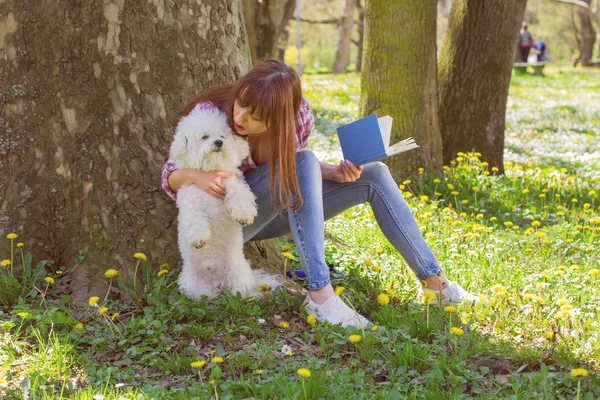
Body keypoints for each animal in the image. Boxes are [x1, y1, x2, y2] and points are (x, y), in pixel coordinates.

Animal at [169, 106, 282, 300]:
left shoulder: (233, 181)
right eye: (205, 136)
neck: (211, 171)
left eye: (222, 135)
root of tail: (217, 280)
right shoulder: (190, 201)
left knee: (243, 292)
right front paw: (199, 238)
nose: (219, 142)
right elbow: (194, 219)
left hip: (238, 273)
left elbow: (240, 195)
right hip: (192, 284)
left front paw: (244, 215)